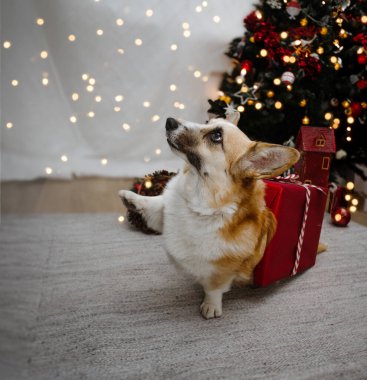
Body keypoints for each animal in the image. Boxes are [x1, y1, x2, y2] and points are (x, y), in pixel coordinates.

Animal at [119, 111, 300, 320]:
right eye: (208, 122)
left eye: (216, 136)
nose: (169, 121)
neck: (196, 198)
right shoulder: (166, 211)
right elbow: (157, 204)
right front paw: (132, 198)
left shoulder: (222, 270)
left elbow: (214, 288)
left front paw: (211, 306)